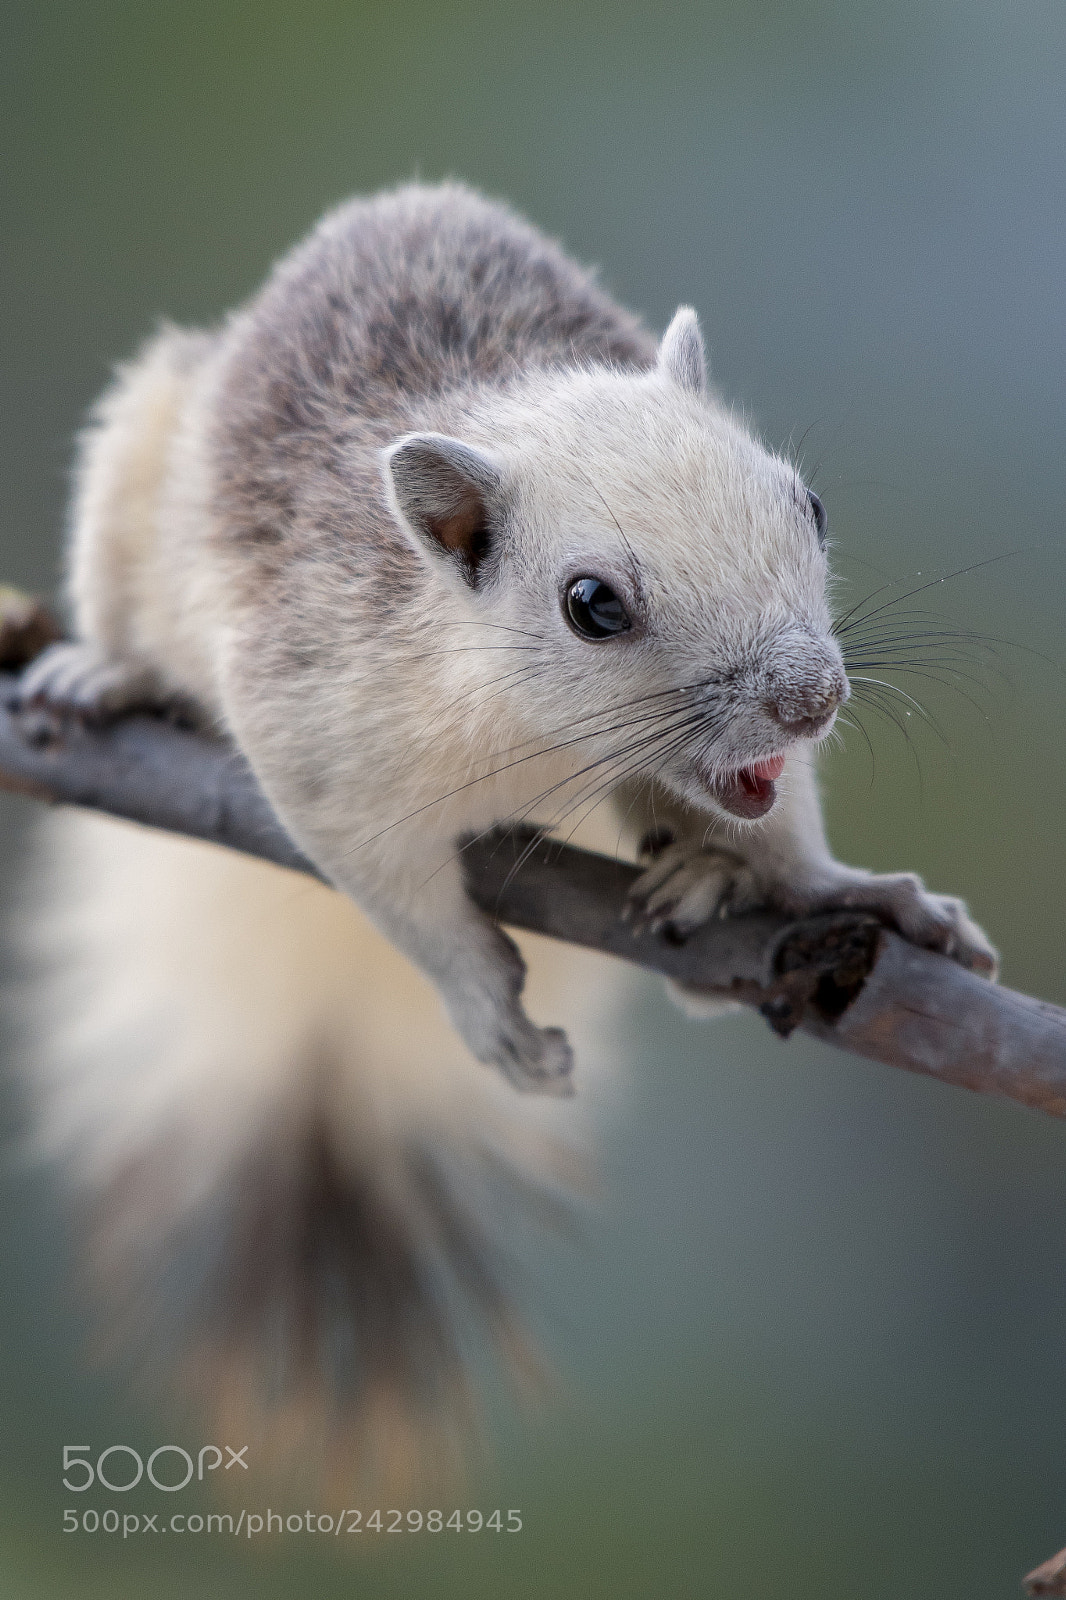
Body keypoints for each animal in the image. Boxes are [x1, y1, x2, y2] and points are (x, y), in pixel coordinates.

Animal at [12, 183, 997, 1489]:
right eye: (592, 605)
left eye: (809, 503)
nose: (810, 699)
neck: (533, 737)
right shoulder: (315, 731)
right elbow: (395, 893)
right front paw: (487, 1004)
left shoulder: (756, 776)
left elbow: (789, 838)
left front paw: (859, 893)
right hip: (134, 464)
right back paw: (103, 671)